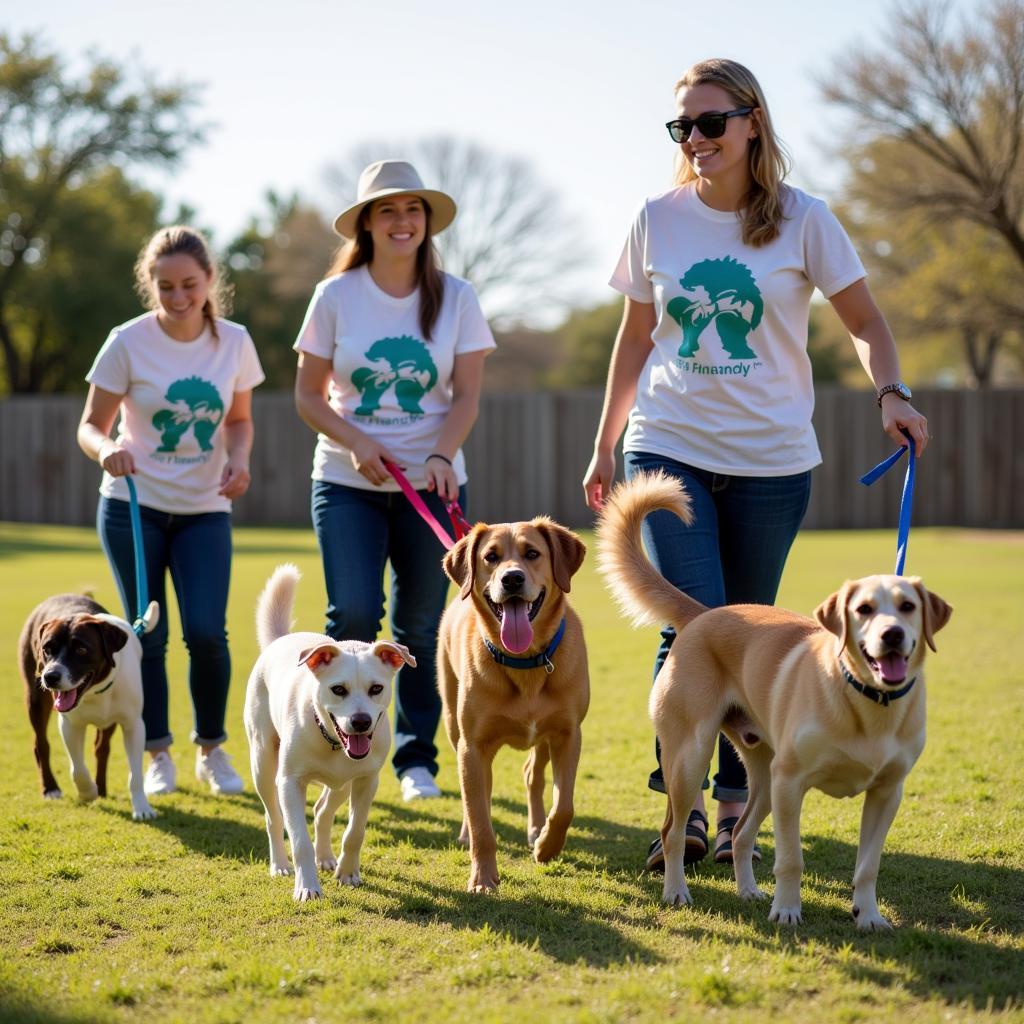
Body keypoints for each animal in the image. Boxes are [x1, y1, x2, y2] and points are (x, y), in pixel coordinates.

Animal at [241, 565, 413, 901]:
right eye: (338, 689)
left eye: (376, 689)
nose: (360, 722)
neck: (330, 739)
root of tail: (280, 640)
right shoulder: (289, 783)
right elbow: (299, 840)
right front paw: (307, 886)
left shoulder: (366, 780)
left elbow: (355, 831)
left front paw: (347, 873)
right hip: (263, 763)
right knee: (273, 818)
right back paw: (280, 865)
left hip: (342, 783)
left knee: (322, 811)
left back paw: (326, 858)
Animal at [440, 516, 593, 892]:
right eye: (491, 557)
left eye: (532, 553)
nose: (511, 578)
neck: (524, 662)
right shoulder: (473, 745)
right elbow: (480, 818)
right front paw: (483, 877)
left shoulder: (568, 734)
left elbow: (564, 806)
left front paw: (547, 846)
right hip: (454, 725)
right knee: (477, 794)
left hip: (544, 736)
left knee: (532, 774)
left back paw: (537, 829)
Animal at [598, 475, 954, 933]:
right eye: (864, 609)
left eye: (908, 606)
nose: (891, 635)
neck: (864, 702)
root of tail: (703, 614)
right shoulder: (791, 783)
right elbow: (791, 859)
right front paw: (787, 911)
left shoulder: (886, 794)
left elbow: (868, 866)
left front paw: (869, 915)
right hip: (692, 758)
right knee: (672, 832)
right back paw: (676, 891)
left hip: (762, 775)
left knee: (741, 833)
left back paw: (748, 891)